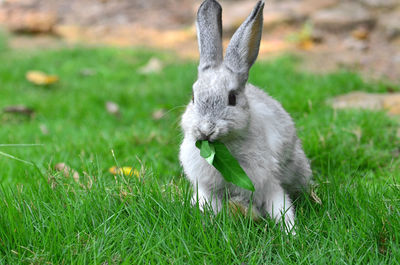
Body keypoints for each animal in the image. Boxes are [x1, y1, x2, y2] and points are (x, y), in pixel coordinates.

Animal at [179, 0, 312, 231]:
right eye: (194, 97)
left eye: (232, 98)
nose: (206, 130)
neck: (222, 150)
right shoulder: (205, 188)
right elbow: (209, 206)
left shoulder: (268, 183)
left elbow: (281, 207)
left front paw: (291, 233)